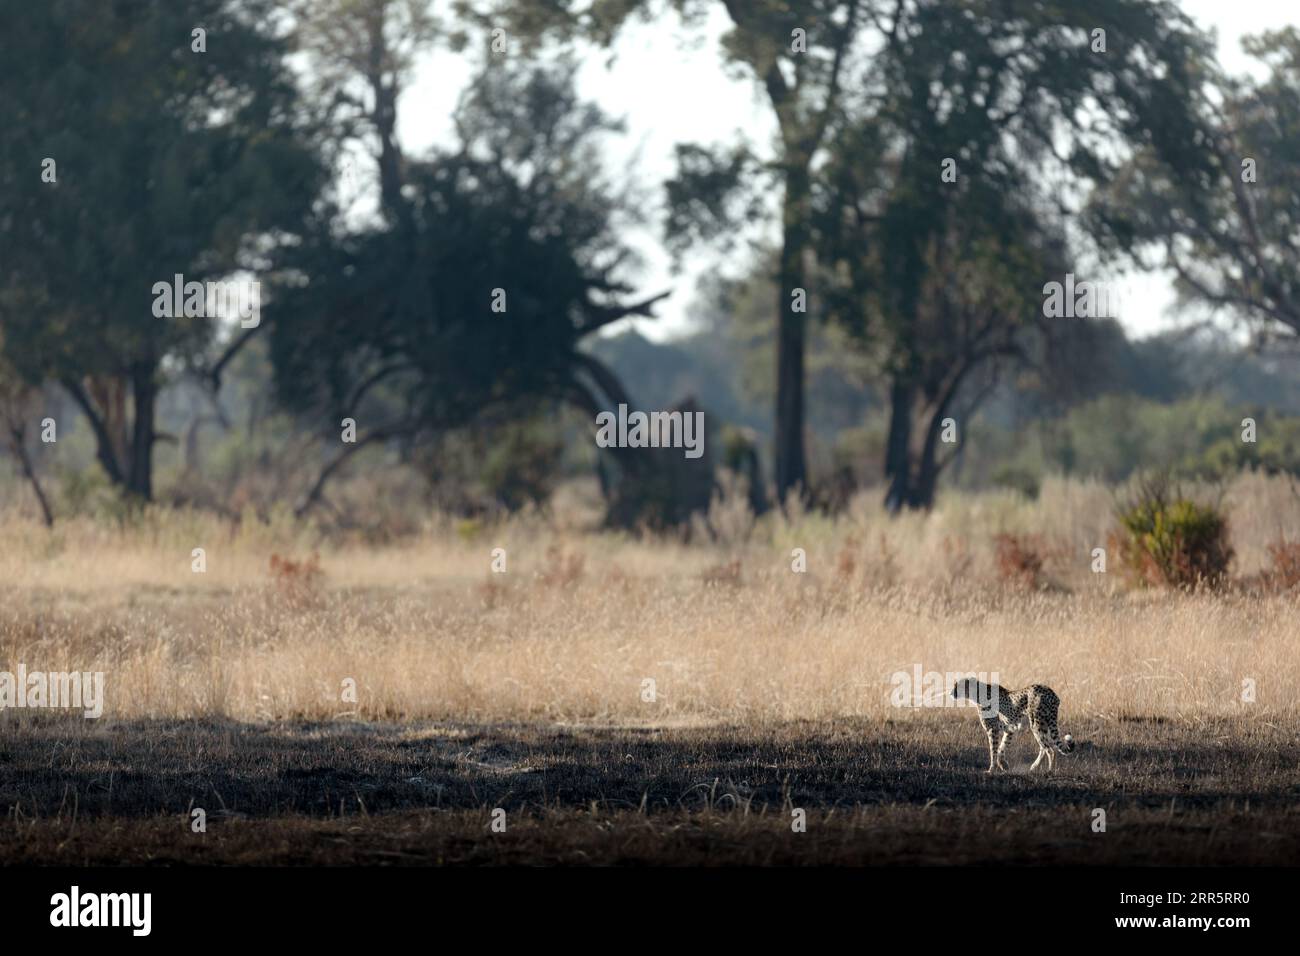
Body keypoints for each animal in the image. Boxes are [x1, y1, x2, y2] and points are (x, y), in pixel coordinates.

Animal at [946, 676, 1076, 775]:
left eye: (958, 686)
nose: (951, 693)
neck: (977, 694)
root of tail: (1050, 691)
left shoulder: (992, 729)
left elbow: (993, 751)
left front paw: (991, 770)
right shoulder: (1009, 729)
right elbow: (1001, 748)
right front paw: (1004, 765)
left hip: (1036, 724)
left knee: (1049, 749)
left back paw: (1049, 771)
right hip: (1044, 724)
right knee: (1045, 747)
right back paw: (1034, 767)